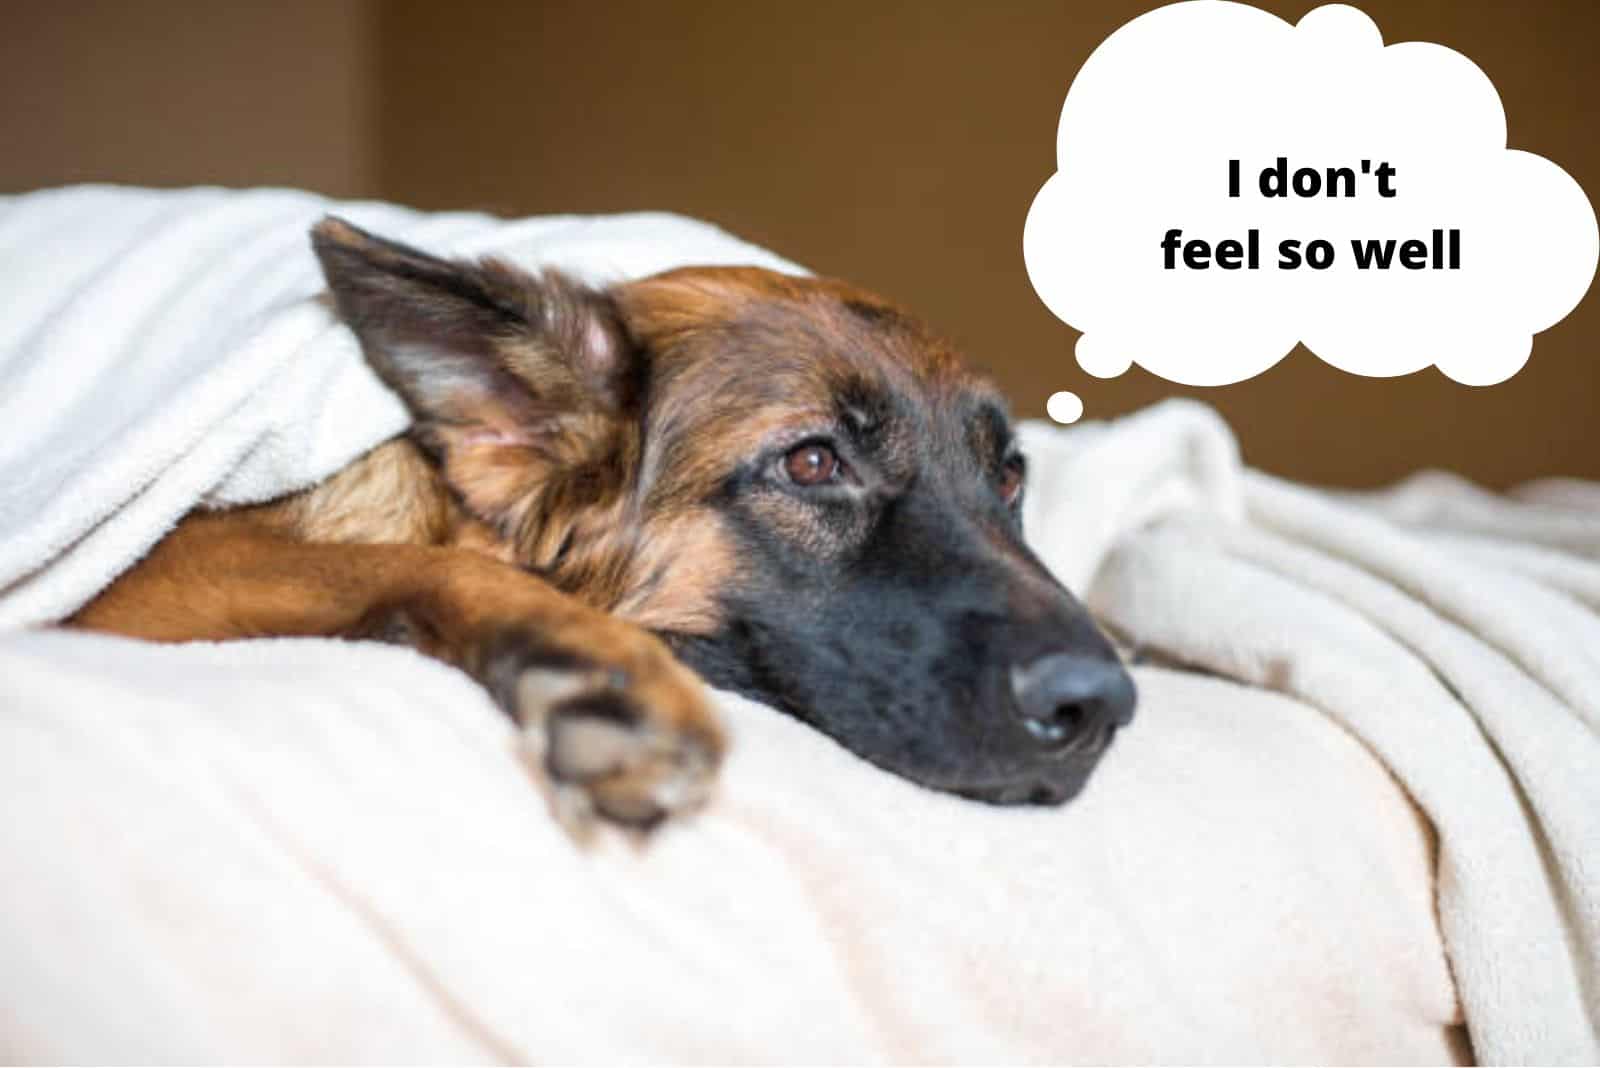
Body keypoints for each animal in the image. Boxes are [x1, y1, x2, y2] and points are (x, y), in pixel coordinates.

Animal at [65, 219, 1139, 831]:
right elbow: (413, 566)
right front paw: (595, 669)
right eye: (812, 463)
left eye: (1009, 476)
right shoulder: (152, 573)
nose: (1101, 708)